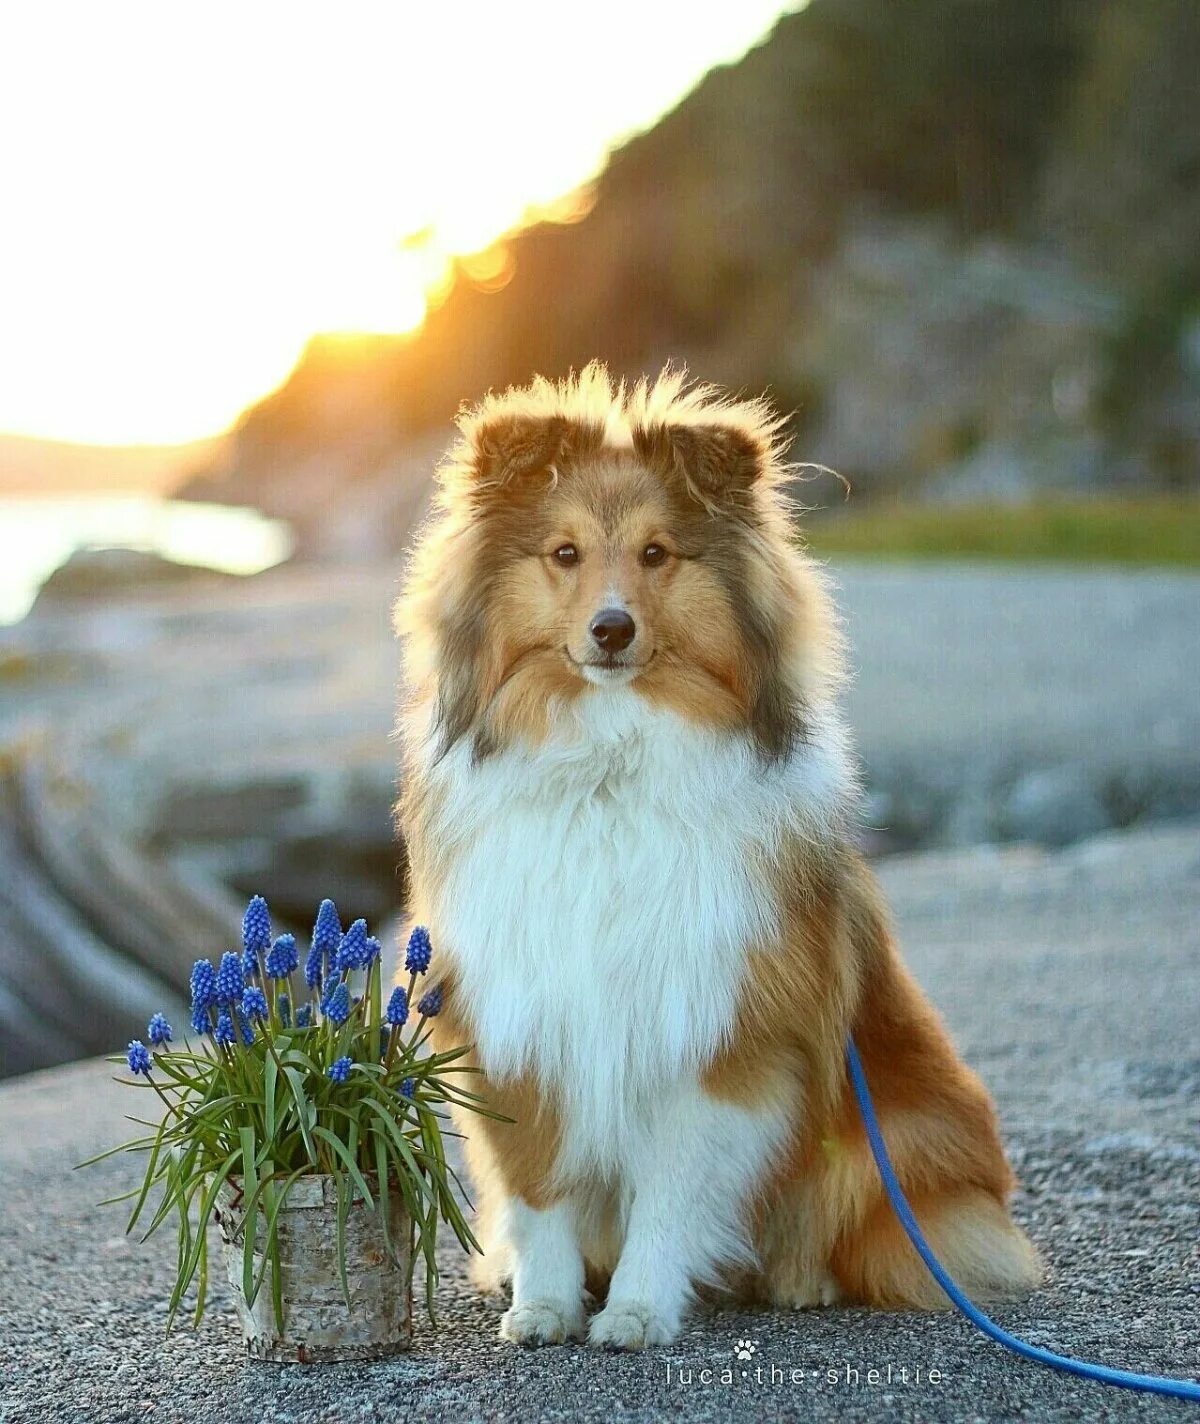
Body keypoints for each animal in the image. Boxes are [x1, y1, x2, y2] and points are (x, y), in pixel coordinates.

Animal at [395, 364, 1041, 1344]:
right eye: (564, 554)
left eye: (658, 554)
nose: (612, 630)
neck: (609, 769)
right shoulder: (521, 1016)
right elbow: (540, 1191)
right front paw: (545, 1307)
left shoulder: (718, 1034)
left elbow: (672, 1194)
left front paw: (637, 1311)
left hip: (900, 1130)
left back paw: (801, 1281)